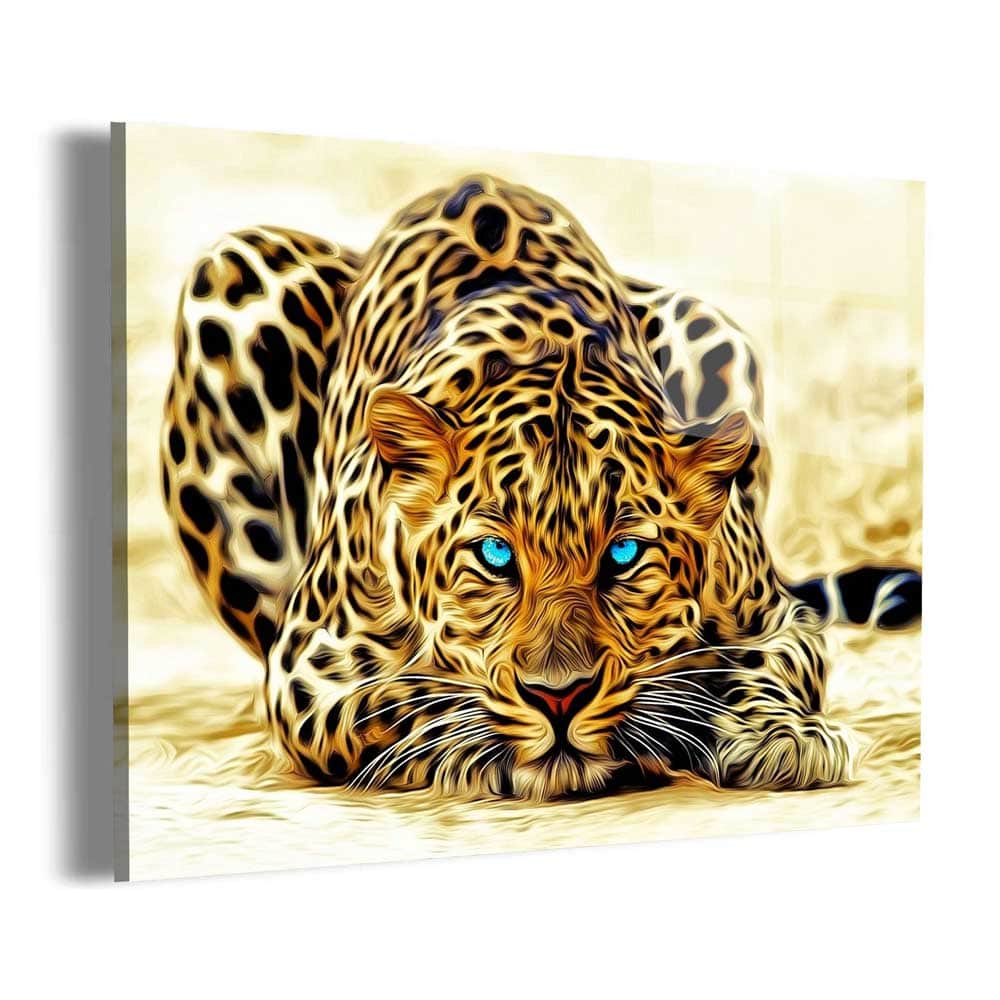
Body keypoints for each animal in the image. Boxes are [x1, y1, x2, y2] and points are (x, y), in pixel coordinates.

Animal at [161, 173, 921, 800]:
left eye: (624, 555)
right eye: (495, 556)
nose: (561, 697)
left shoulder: (776, 617)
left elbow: (763, 665)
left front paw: (782, 736)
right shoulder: (311, 668)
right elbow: (407, 701)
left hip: (710, 326)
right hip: (233, 270)